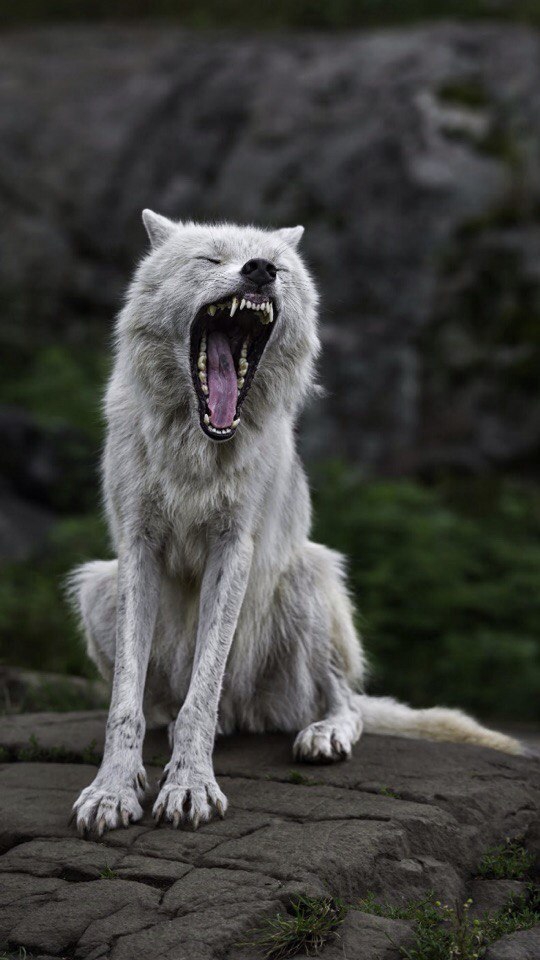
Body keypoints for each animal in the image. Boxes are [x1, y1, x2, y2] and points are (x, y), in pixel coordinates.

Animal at [70, 211, 524, 836]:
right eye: (210, 259)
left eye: (279, 267)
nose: (259, 269)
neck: (197, 449)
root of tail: (250, 713)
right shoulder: (138, 549)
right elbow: (124, 706)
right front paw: (114, 789)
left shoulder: (234, 546)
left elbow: (203, 690)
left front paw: (189, 787)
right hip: (98, 585)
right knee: (177, 705)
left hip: (305, 578)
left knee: (343, 700)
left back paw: (323, 734)